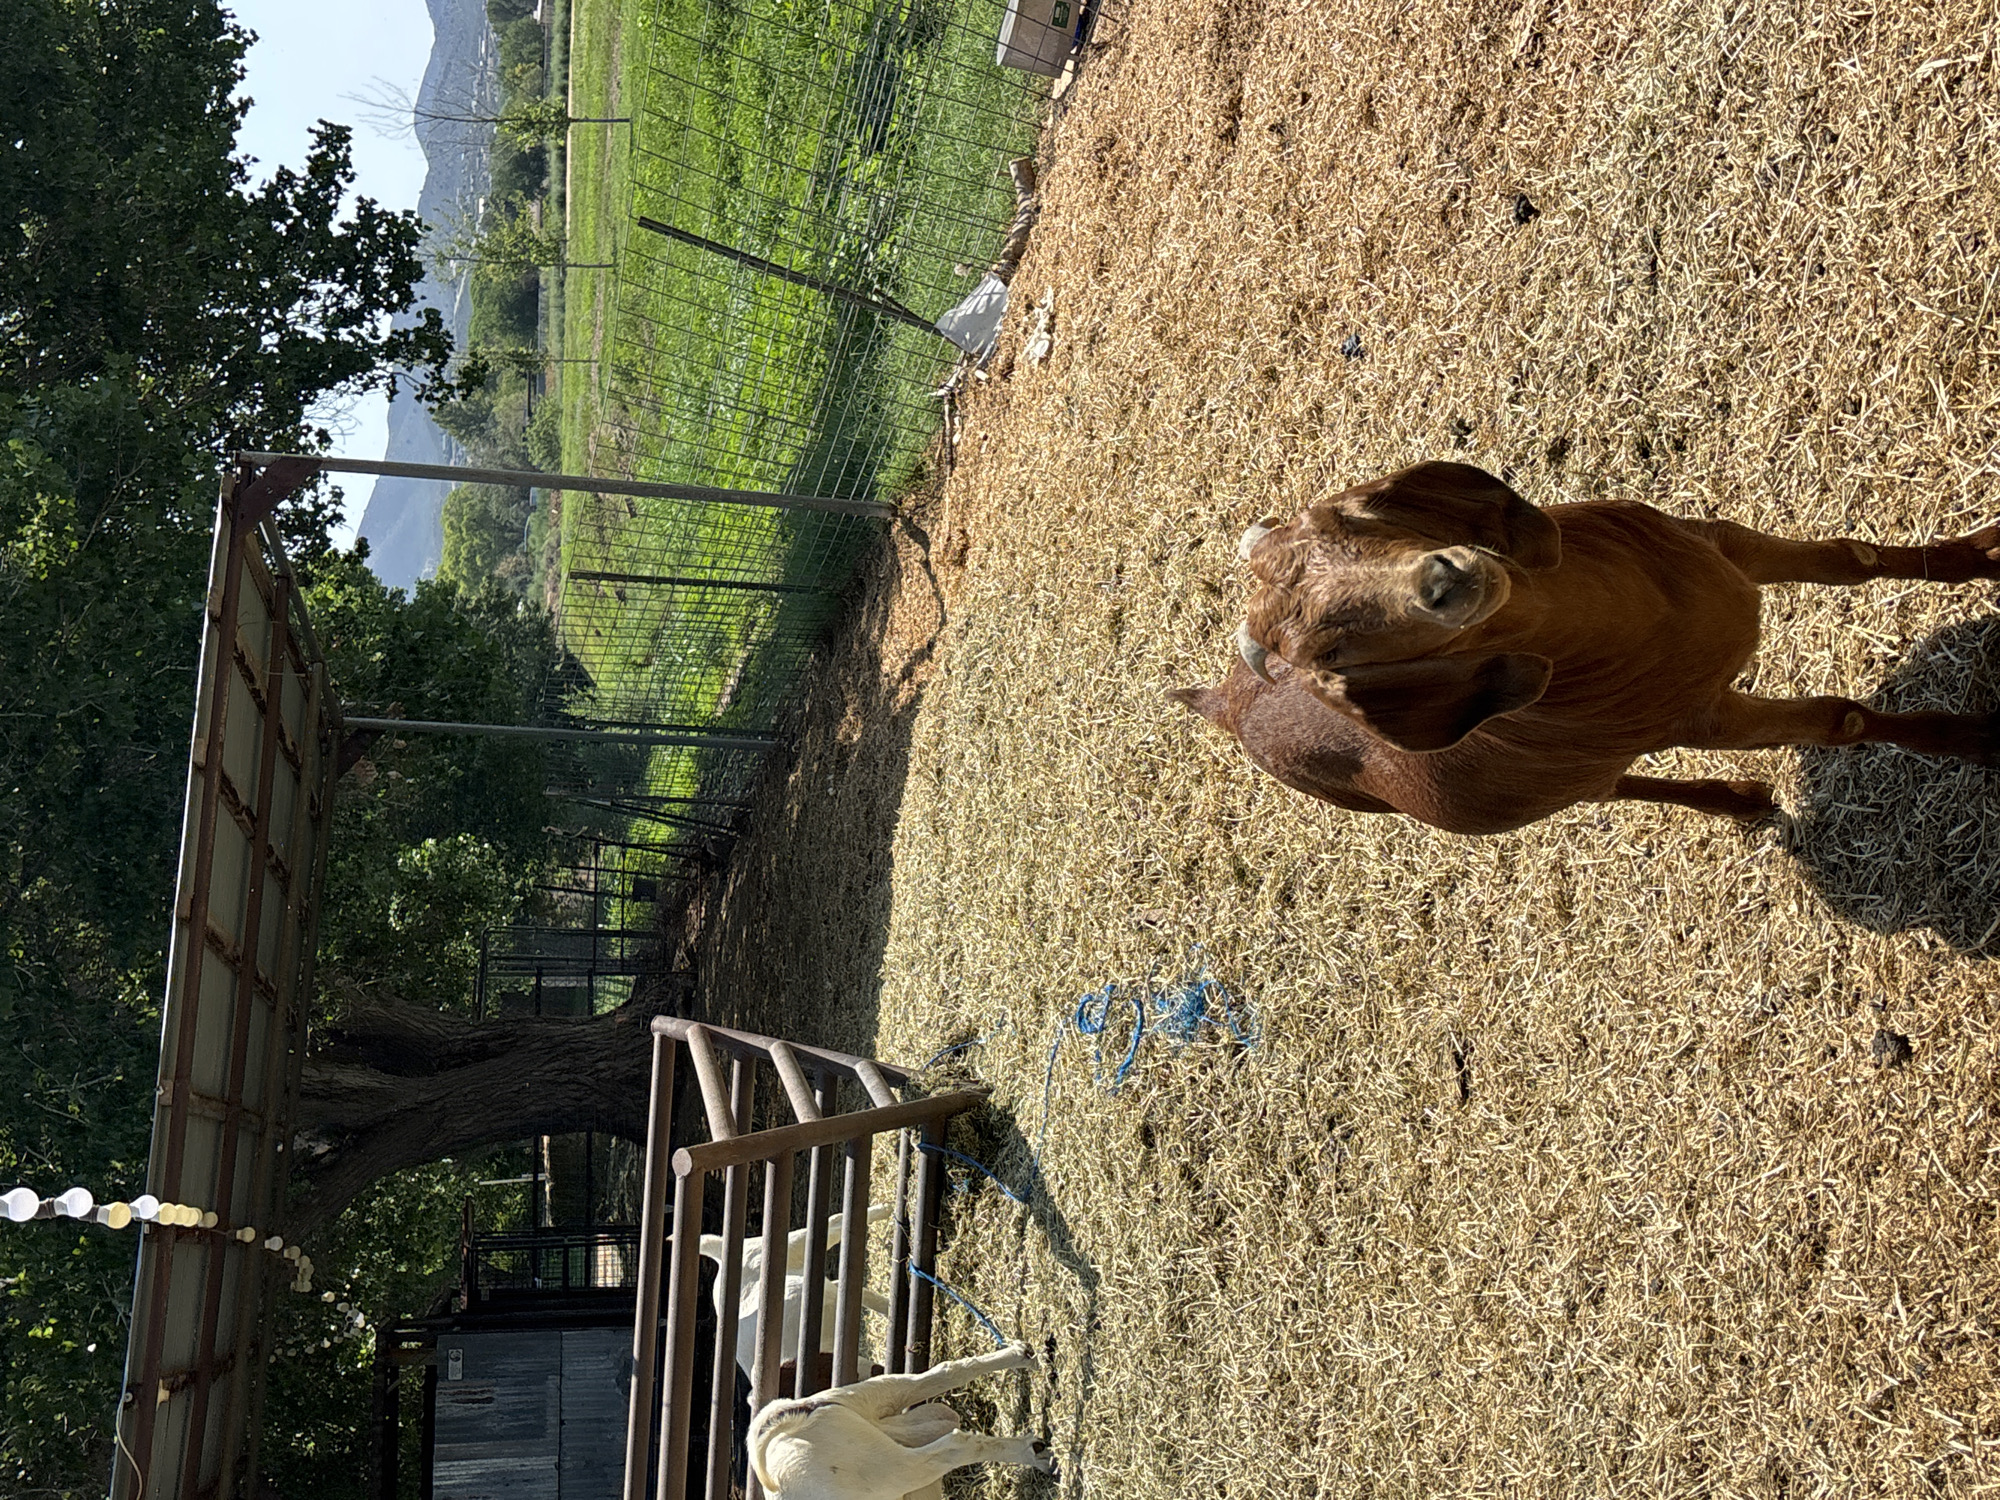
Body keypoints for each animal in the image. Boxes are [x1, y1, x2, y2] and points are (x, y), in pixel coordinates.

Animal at [749, 1341, 1052, 1500]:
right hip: (874, 1403)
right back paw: (1024, 1355)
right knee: (944, 1384)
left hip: (890, 1468)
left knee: (954, 1444)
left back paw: (1038, 1455)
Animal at [1172, 461, 2000, 835]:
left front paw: (1983, 552)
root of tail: (1221, 703)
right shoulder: (1702, 717)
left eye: (1359, 520)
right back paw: (1737, 802)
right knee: (1611, 789)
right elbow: (1842, 719)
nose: (1441, 580)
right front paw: (1977, 740)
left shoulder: (1717, 544)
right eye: (1332, 660)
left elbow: (1853, 559)